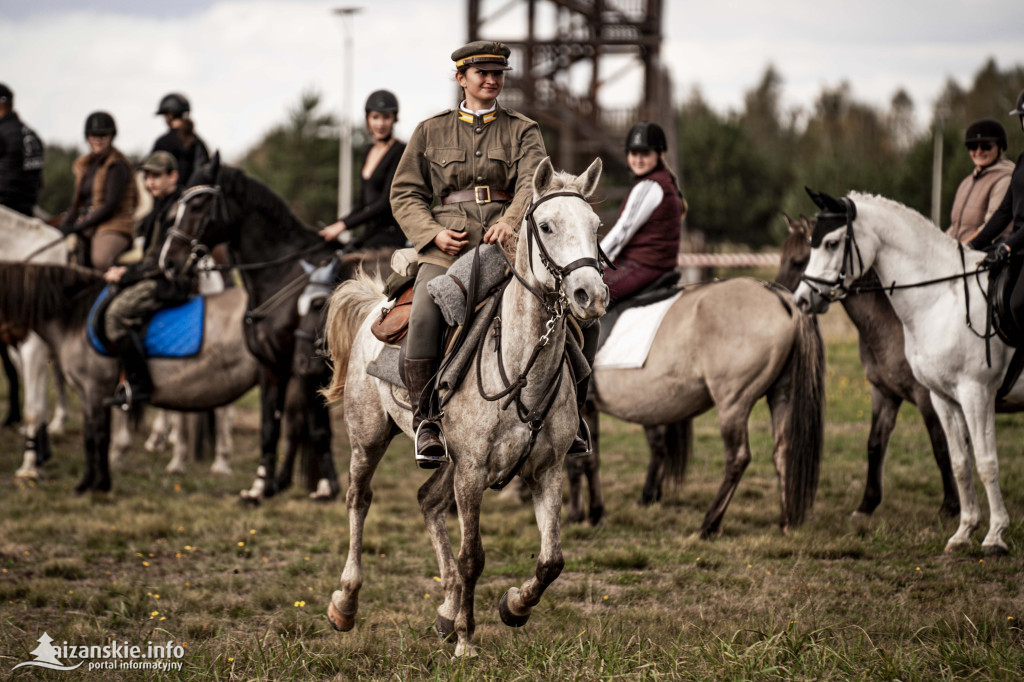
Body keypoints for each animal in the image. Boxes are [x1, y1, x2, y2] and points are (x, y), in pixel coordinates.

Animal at [573, 276, 827, 536]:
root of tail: (779, 296)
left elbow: (583, 462)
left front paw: (590, 513)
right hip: (782, 394)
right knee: (783, 453)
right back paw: (786, 524)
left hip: (733, 402)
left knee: (737, 458)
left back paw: (709, 524)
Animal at [778, 212, 962, 516]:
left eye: (798, 260)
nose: (790, 300)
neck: (895, 322)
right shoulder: (883, 392)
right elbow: (875, 444)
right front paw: (867, 504)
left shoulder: (928, 397)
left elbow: (941, 446)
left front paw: (950, 506)